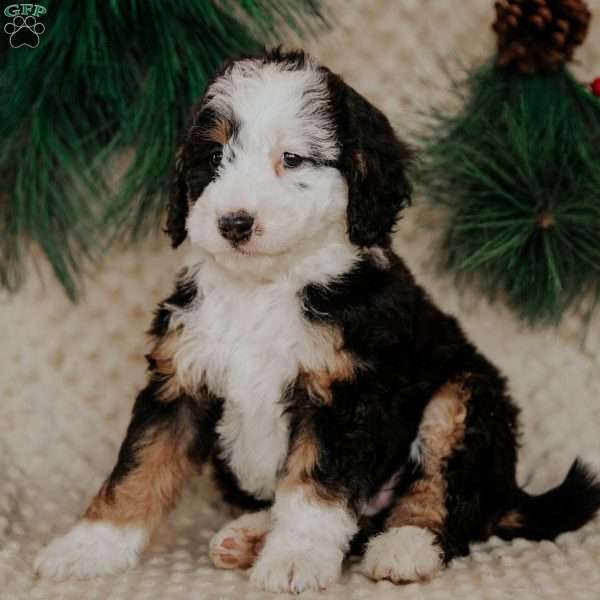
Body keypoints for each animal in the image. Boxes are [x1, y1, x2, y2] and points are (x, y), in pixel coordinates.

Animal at [36, 49, 600, 592]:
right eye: (214, 157)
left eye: (292, 159)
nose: (234, 223)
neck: (263, 289)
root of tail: (508, 492)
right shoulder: (179, 379)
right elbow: (138, 465)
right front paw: (89, 546)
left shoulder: (344, 394)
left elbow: (314, 489)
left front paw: (295, 559)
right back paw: (251, 534)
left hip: (464, 394)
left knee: (442, 496)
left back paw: (406, 546)